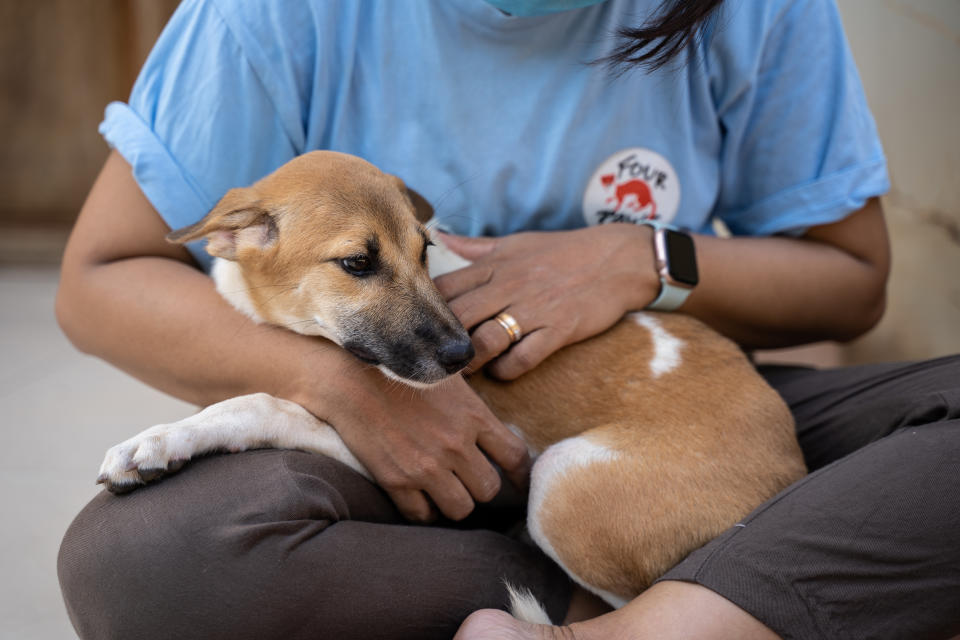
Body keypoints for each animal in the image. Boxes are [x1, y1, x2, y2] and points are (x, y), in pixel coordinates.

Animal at [97, 150, 808, 616]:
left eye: (424, 249)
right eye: (357, 262)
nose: (467, 354)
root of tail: (791, 469)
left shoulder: (397, 450)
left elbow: (258, 404)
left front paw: (157, 442)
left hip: (561, 484)